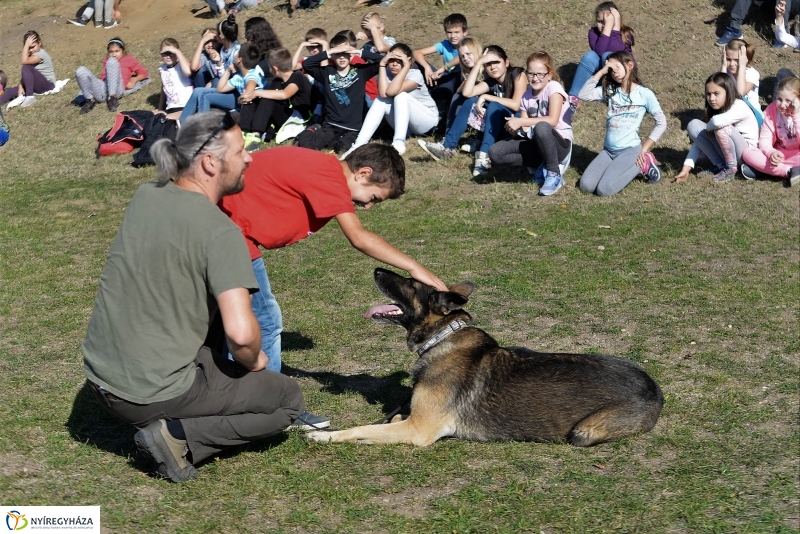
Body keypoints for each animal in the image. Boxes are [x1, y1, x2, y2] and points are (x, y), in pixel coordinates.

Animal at [306, 268, 664, 448]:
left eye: (409, 282)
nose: (377, 267)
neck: (442, 338)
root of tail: (655, 389)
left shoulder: (419, 430)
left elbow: (359, 428)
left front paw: (324, 435)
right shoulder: (412, 421)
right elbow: (386, 422)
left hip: (583, 432)